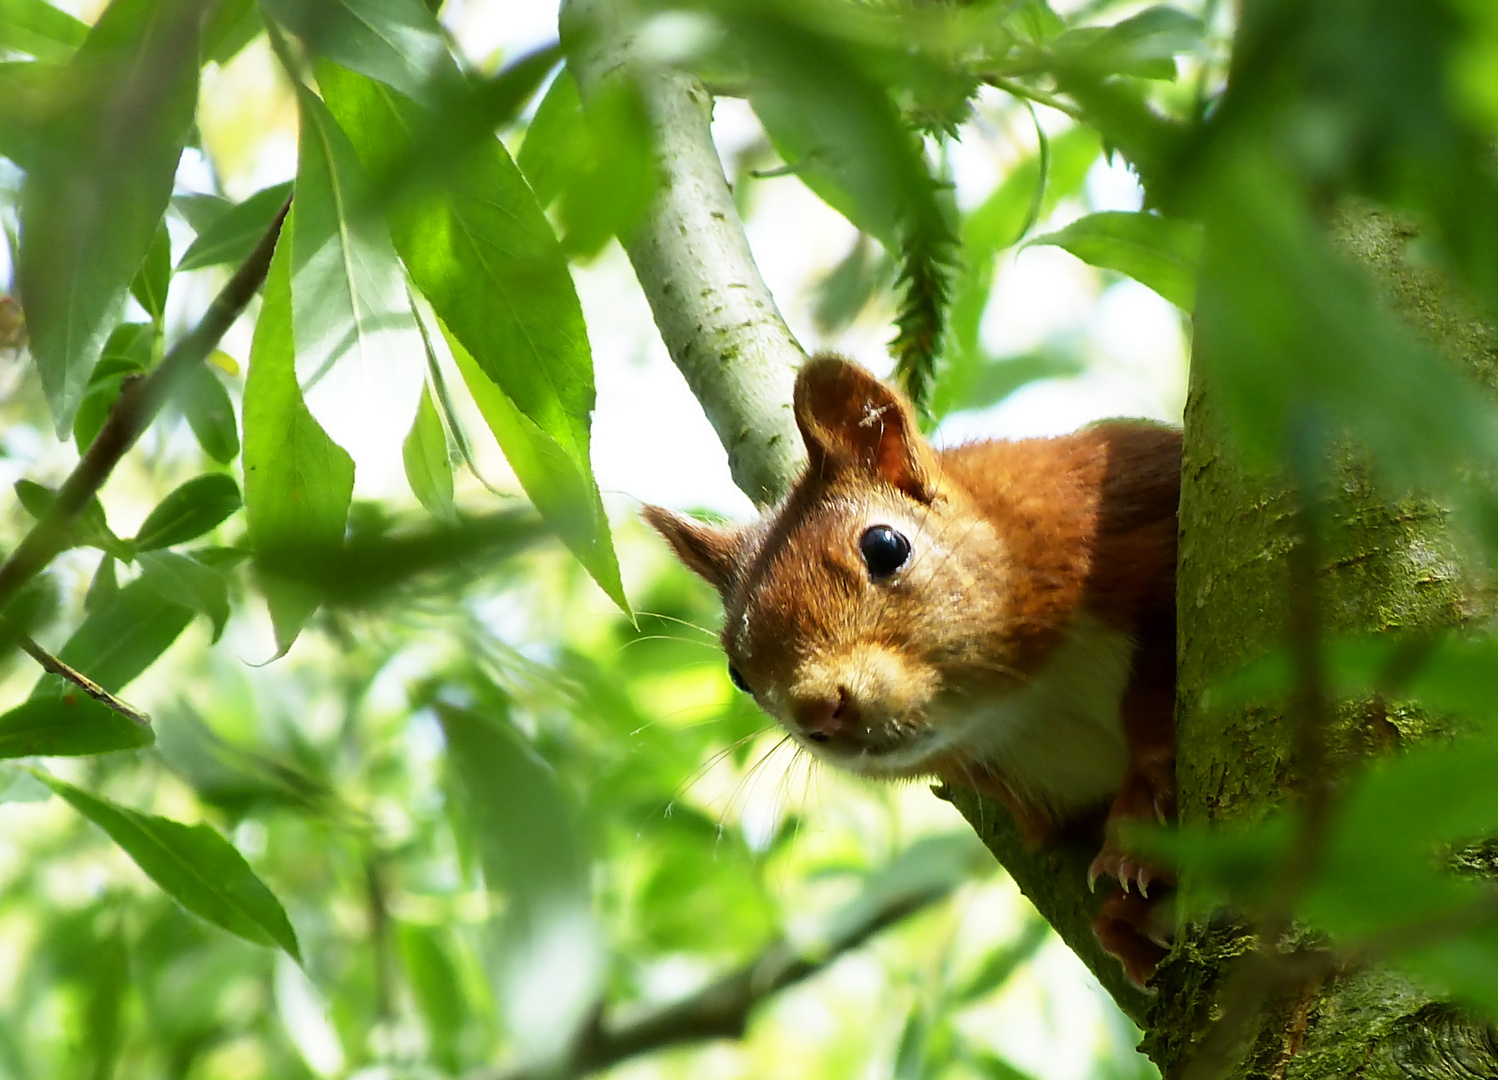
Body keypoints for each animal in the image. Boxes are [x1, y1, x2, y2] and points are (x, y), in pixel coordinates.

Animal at [644, 356, 1180, 988]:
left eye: (885, 546)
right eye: (737, 672)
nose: (818, 711)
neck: (1025, 698)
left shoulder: (1133, 521)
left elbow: (1161, 680)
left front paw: (1140, 818)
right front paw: (1122, 918)